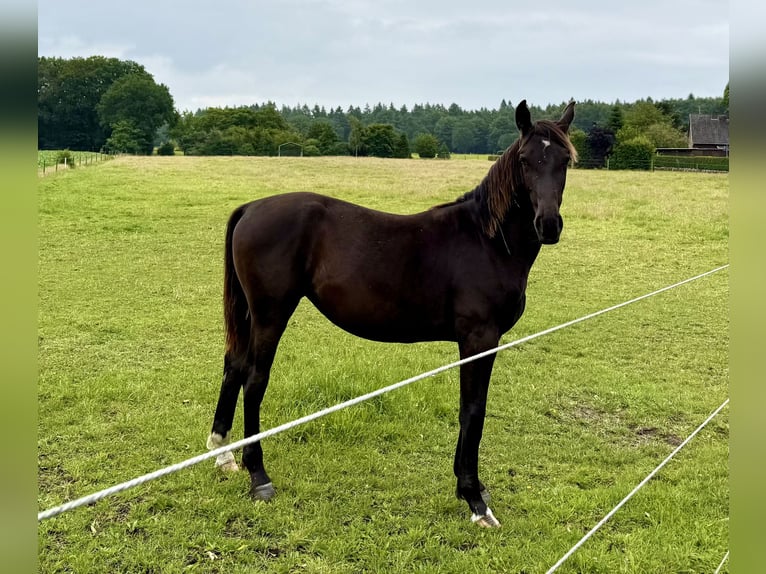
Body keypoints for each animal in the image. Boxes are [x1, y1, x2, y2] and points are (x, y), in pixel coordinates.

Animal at [207, 99, 576, 528]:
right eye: (525, 160)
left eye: (564, 160)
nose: (548, 225)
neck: (487, 241)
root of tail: (251, 208)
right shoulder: (479, 339)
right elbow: (473, 410)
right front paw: (474, 499)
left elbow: (470, 410)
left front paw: (470, 487)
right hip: (271, 314)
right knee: (254, 380)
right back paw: (259, 476)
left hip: (252, 315)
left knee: (234, 367)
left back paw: (222, 453)